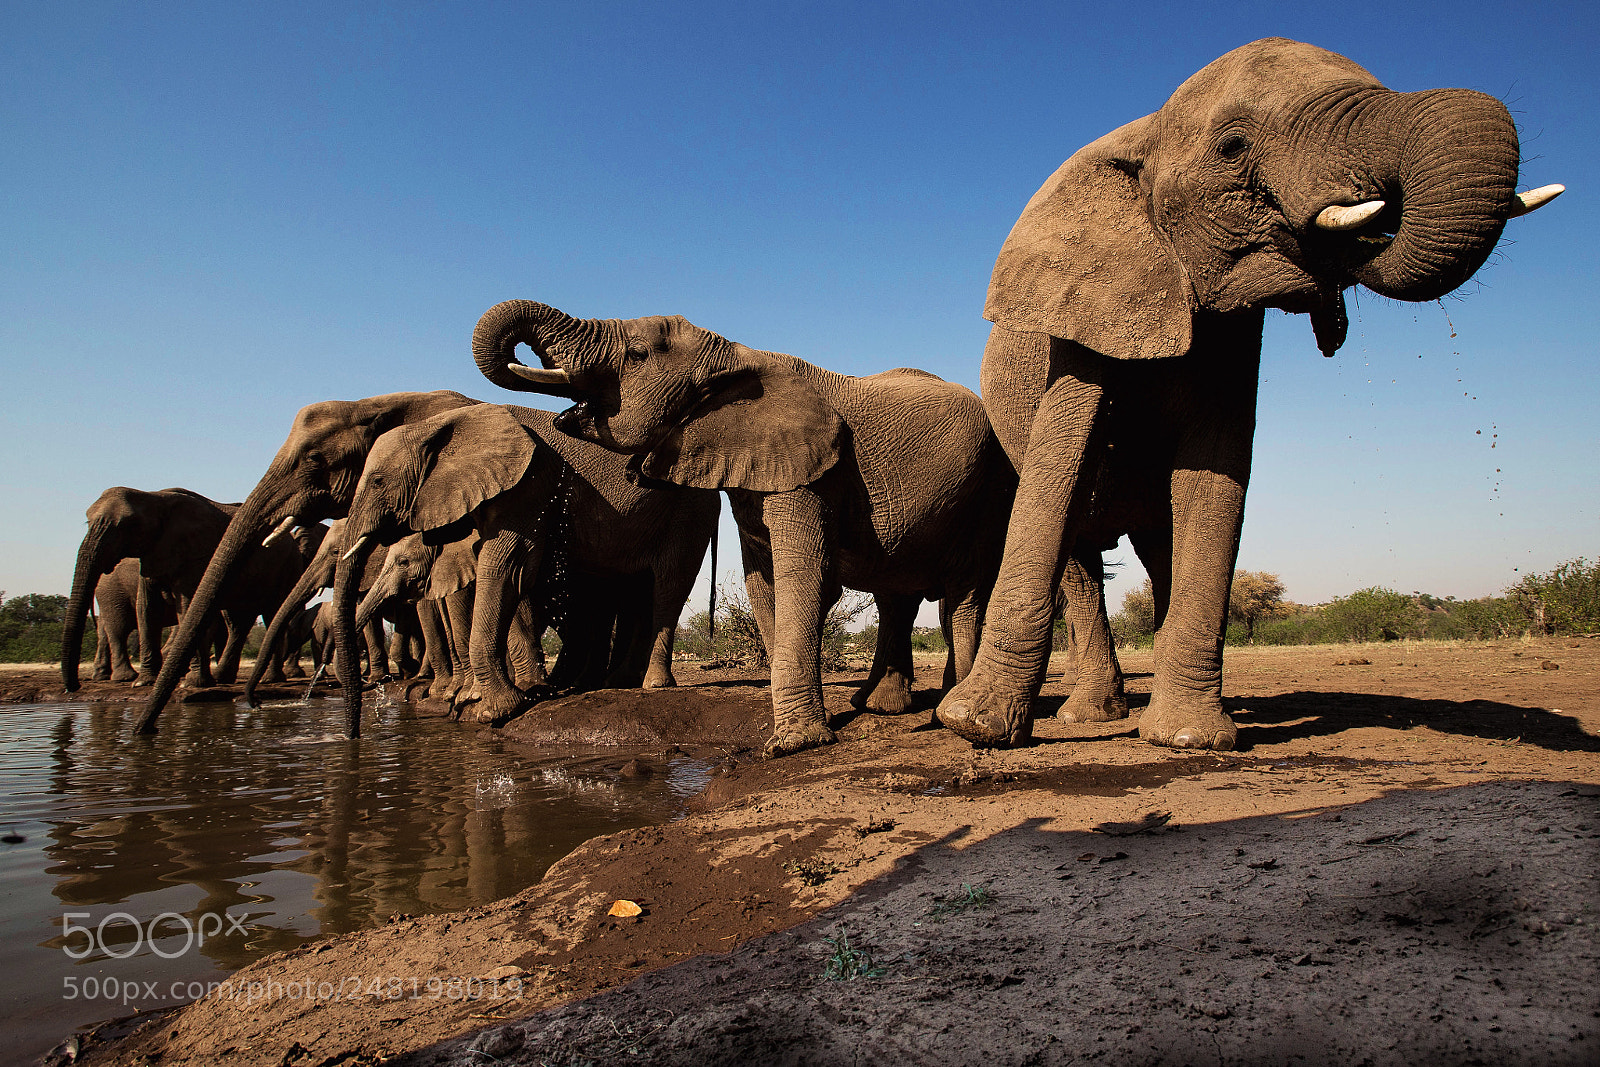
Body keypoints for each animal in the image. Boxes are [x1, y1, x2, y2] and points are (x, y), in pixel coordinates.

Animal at [62, 487, 317, 692]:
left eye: (128, 525)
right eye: (87, 522)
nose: (73, 688)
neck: (153, 498)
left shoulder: (196, 554)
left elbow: (187, 608)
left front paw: (190, 683)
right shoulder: (153, 556)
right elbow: (147, 609)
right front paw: (144, 683)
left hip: (287, 568)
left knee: (272, 616)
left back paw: (269, 680)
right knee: (237, 622)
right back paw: (222, 678)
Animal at [332, 403, 719, 731]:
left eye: (378, 481)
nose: (353, 734)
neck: (445, 424)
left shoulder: (528, 487)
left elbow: (509, 566)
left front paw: (493, 710)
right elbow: (513, 577)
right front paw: (523, 693)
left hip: (689, 512)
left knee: (667, 587)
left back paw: (651, 685)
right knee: (635, 591)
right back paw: (615, 682)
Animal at [470, 299, 1015, 757]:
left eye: (639, 354)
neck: (735, 355)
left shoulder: (813, 473)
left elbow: (801, 575)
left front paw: (793, 744)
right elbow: (763, 581)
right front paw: (793, 729)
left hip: (993, 487)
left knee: (964, 594)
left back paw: (947, 708)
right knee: (897, 595)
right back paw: (879, 706)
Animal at [928, 38, 1563, 750]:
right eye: (1233, 147)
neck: (1148, 130)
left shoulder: (1234, 340)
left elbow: (1214, 475)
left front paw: (1188, 739)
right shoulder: (1082, 316)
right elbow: (1059, 467)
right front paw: (974, 727)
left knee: (1160, 541)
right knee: (1083, 553)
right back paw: (1091, 716)